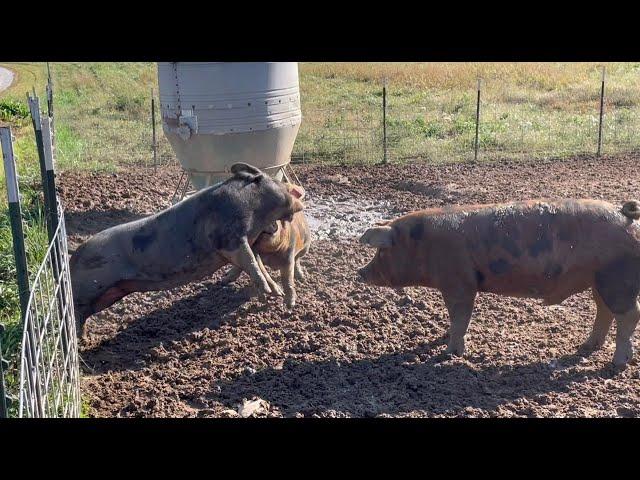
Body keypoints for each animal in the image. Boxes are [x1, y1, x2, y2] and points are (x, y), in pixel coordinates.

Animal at [358, 199, 640, 368]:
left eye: (381, 251)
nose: (360, 272)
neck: (422, 243)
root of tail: (626, 217)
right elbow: (455, 318)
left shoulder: (459, 283)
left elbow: (459, 317)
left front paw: (451, 354)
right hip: (599, 281)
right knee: (604, 311)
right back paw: (586, 347)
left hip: (616, 279)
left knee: (629, 315)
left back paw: (617, 363)